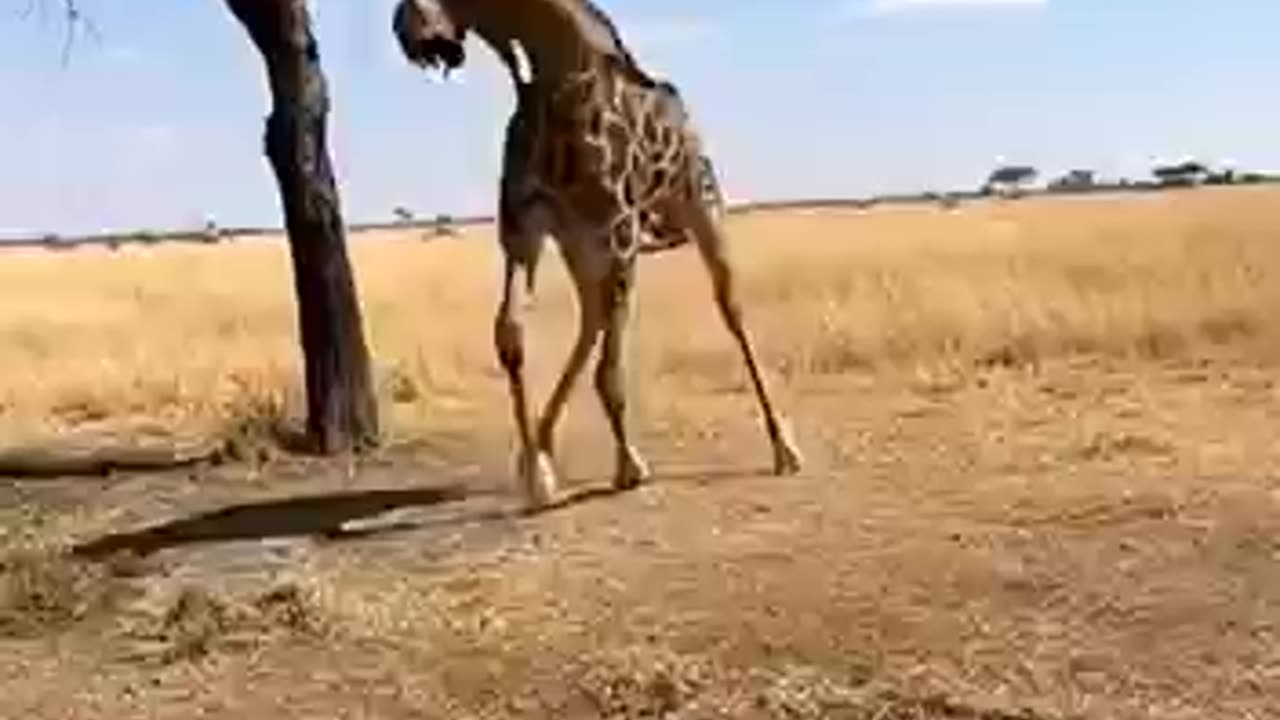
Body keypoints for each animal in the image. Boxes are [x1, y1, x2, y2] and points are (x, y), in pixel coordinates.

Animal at [393, 0, 803, 511]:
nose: (406, 31)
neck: (555, 75)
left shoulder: (620, 231)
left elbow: (610, 369)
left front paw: (628, 466)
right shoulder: (524, 227)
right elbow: (510, 334)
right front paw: (538, 474)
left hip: (700, 208)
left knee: (730, 310)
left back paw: (785, 447)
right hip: (581, 242)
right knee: (592, 318)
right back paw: (542, 448)